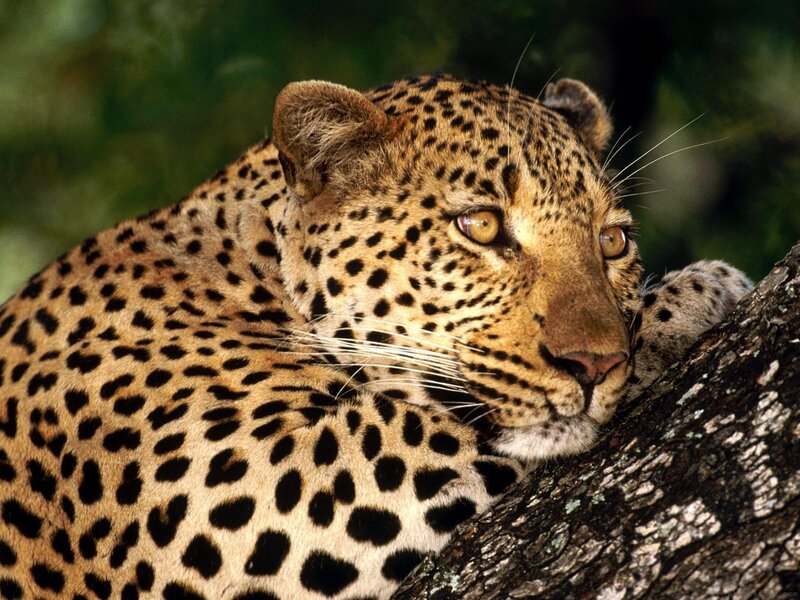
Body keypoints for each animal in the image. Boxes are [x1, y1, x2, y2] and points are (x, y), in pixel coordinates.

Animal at [0, 73, 752, 600]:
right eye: (480, 226)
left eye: (613, 241)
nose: (595, 364)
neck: (246, 266)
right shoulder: (259, 486)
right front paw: (697, 292)